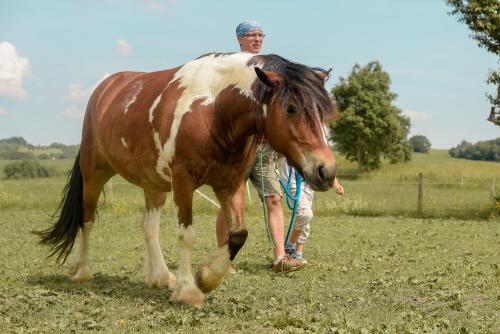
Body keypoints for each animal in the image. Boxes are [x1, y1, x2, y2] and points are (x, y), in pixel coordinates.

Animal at [37, 52, 338, 308]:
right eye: (291, 108)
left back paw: (160, 276)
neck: (213, 110)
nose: (326, 170)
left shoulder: (231, 184)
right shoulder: (183, 182)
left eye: (322, 111)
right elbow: (186, 235)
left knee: (149, 227)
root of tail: (105, 89)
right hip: (94, 173)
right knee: (87, 220)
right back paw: (82, 271)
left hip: (153, 183)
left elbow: (238, 234)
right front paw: (188, 290)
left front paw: (206, 277)